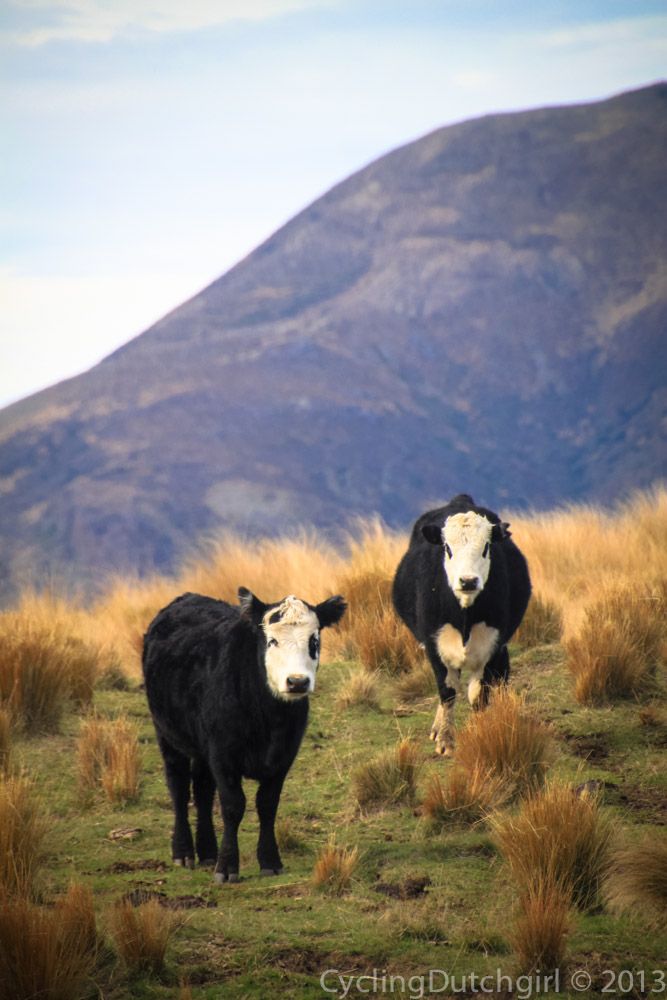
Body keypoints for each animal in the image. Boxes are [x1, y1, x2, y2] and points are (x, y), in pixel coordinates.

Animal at [142, 587, 346, 882]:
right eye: (272, 641)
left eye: (314, 640)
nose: (297, 681)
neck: (270, 720)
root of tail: (187, 597)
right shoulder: (223, 754)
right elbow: (233, 806)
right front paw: (227, 868)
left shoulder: (283, 756)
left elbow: (267, 805)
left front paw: (270, 861)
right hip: (168, 736)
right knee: (179, 788)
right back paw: (184, 853)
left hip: (203, 748)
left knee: (203, 791)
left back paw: (208, 852)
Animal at [392, 494, 531, 756]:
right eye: (447, 548)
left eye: (486, 547)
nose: (467, 581)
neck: (464, 616)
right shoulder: (435, 645)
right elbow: (447, 692)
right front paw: (445, 739)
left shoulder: (492, 645)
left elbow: (478, 696)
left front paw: (480, 733)